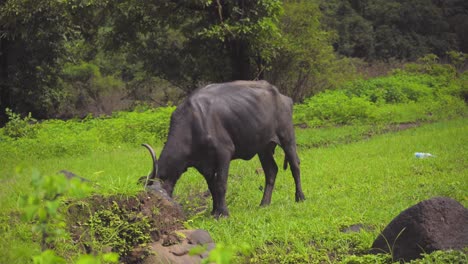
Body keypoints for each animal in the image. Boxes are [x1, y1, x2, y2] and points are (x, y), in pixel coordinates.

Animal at [143, 80, 304, 217]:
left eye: (158, 201)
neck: (194, 124)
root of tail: (284, 98)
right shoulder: (204, 165)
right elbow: (212, 187)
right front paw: (214, 211)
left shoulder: (224, 153)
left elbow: (221, 184)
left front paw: (223, 213)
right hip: (263, 148)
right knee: (271, 171)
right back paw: (264, 203)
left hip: (287, 138)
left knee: (295, 166)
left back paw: (300, 197)